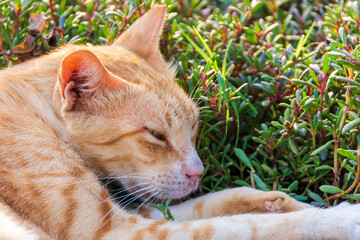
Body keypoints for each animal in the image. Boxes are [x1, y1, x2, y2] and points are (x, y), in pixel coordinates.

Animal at [0, 4, 360, 239]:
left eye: (194, 127)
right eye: (156, 135)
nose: (197, 172)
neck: (37, 114)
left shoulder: (143, 213)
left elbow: (216, 202)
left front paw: (280, 202)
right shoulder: (117, 231)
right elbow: (248, 226)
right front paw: (341, 220)